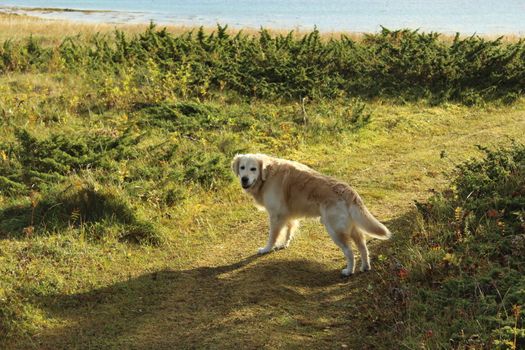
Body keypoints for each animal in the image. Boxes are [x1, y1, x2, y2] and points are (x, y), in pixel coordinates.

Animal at [231, 153, 390, 276]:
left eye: (253, 169)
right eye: (242, 167)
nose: (244, 179)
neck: (267, 175)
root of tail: (347, 189)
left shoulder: (276, 215)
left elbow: (273, 236)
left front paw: (266, 249)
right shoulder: (287, 214)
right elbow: (288, 230)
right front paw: (284, 244)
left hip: (335, 230)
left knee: (349, 251)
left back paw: (348, 271)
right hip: (352, 227)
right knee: (363, 246)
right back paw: (365, 267)